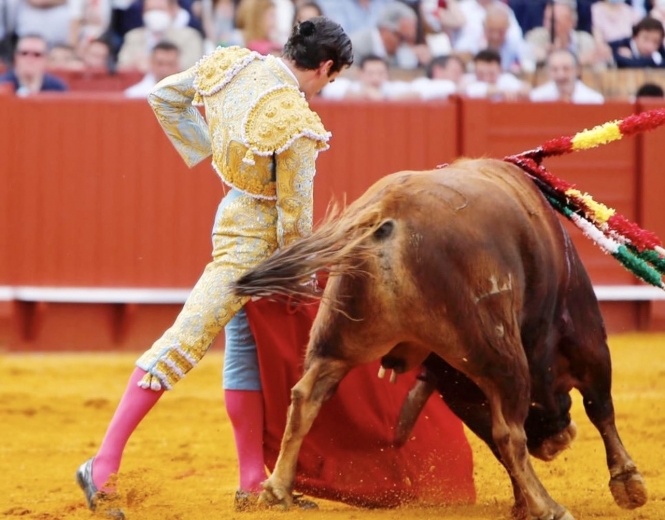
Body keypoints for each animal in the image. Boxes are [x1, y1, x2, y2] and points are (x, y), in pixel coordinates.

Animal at [231, 158, 644, 520]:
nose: (555, 442)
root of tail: (386, 211)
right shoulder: (585, 336)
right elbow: (599, 406)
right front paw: (628, 484)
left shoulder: (456, 387)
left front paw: (521, 504)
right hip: (498, 349)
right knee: (510, 433)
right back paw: (551, 508)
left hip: (336, 337)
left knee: (306, 396)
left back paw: (277, 491)